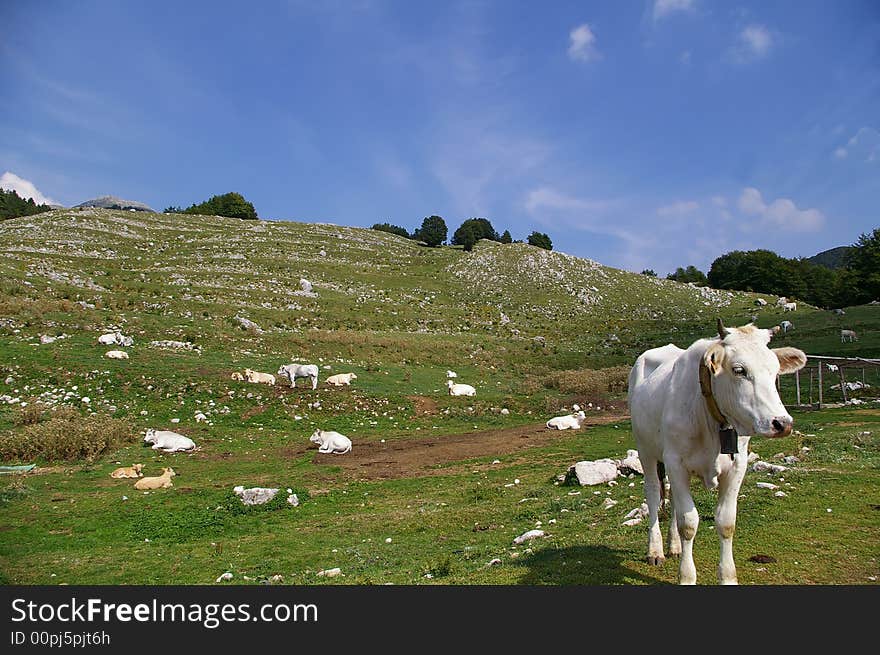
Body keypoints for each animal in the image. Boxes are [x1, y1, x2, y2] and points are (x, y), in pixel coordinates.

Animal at [624, 320, 804, 584]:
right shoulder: (675, 462)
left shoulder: (737, 466)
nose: (782, 423)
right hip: (646, 450)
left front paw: (728, 576)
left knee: (673, 499)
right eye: (739, 370)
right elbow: (688, 523)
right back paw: (655, 550)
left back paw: (674, 547)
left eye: (775, 370)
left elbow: (726, 522)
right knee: (654, 494)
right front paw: (687, 577)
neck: (711, 417)